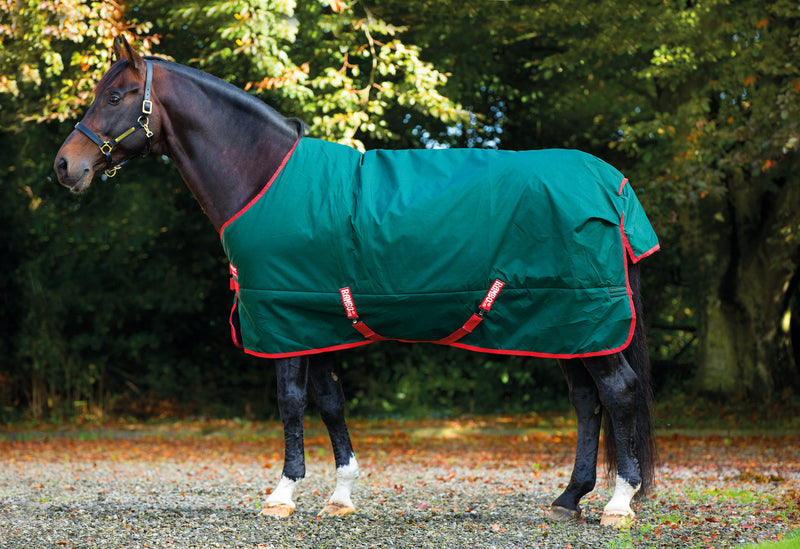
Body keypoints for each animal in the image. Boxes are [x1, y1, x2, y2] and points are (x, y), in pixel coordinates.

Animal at [54, 36, 658, 527]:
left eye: (116, 96)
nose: (65, 166)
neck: (264, 177)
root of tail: (614, 185)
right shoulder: (313, 319)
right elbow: (330, 401)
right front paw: (340, 495)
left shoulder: (284, 318)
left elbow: (291, 400)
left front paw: (283, 494)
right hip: (567, 326)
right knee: (587, 400)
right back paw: (568, 498)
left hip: (585, 317)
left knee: (619, 391)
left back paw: (618, 503)